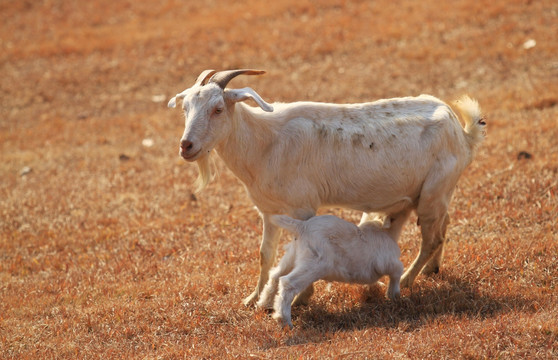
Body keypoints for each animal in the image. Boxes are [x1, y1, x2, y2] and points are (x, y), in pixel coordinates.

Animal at [168, 69, 488, 306]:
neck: (265, 142)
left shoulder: (303, 207)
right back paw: (433, 269)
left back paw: (408, 280)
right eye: (185, 108)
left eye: (218, 108)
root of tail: (462, 132)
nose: (186, 146)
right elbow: (264, 253)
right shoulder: (268, 210)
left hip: (435, 191)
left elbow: (301, 245)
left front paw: (300, 298)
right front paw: (252, 299)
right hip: (434, 194)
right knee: (443, 225)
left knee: (432, 238)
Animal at [258, 211, 412, 330]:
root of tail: (302, 226)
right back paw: (284, 320)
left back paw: (264, 304)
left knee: (275, 275)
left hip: (292, 256)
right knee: (287, 283)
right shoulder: (388, 262)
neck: (384, 231)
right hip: (315, 263)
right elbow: (398, 271)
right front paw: (394, 296)